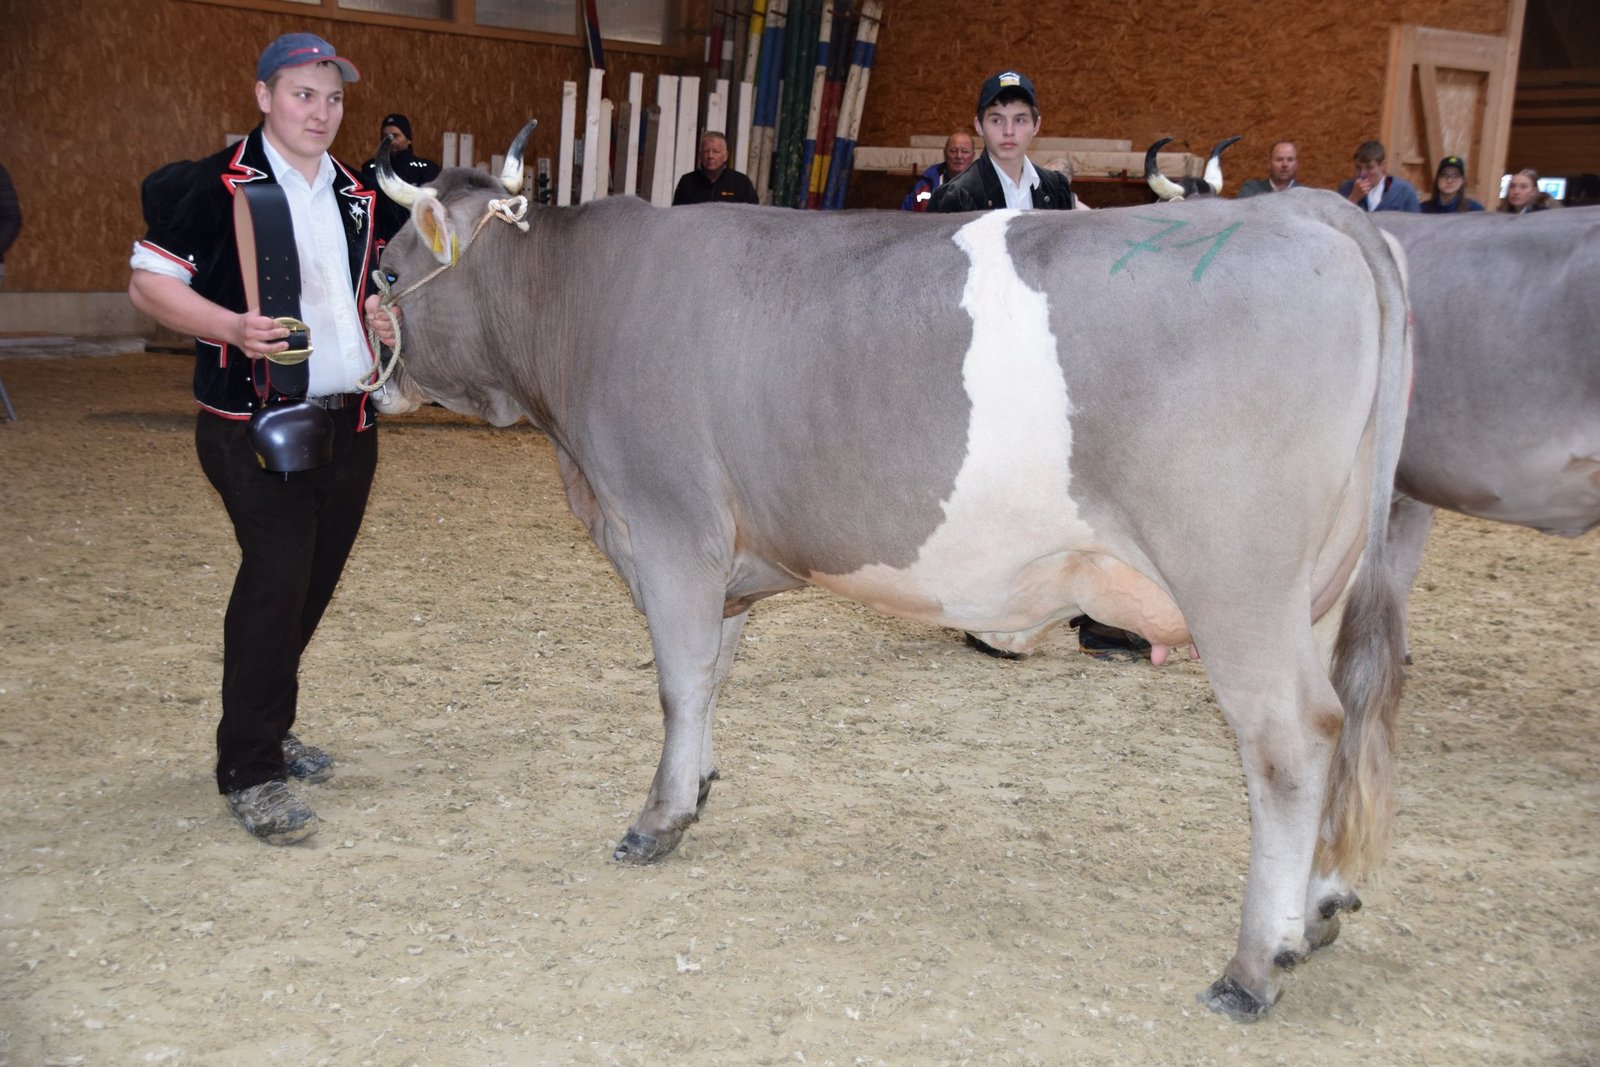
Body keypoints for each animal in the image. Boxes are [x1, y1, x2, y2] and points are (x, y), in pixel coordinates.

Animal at [366, 125, 1413, 1020]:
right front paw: (696, 786)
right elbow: (712, 675)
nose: (373, 348)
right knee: (1339, 719)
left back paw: (1254, 964)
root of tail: (1311, 210)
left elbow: (677, 680)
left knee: (1290, 740)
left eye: (387, 264)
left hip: (1239, 581)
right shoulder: (724, 557)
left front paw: (656, 818)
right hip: (1319, 585)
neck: (575, 301)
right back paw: (1318, 907)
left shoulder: (667, 529)